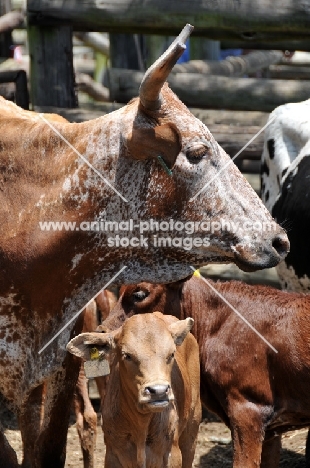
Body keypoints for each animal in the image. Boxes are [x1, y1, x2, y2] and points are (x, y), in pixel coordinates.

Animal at [67, 310, 201, 468]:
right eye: (127, 355)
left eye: (172, 353)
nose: (159, 391)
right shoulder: (112, 455)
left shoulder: (172, 455)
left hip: (192, 427)